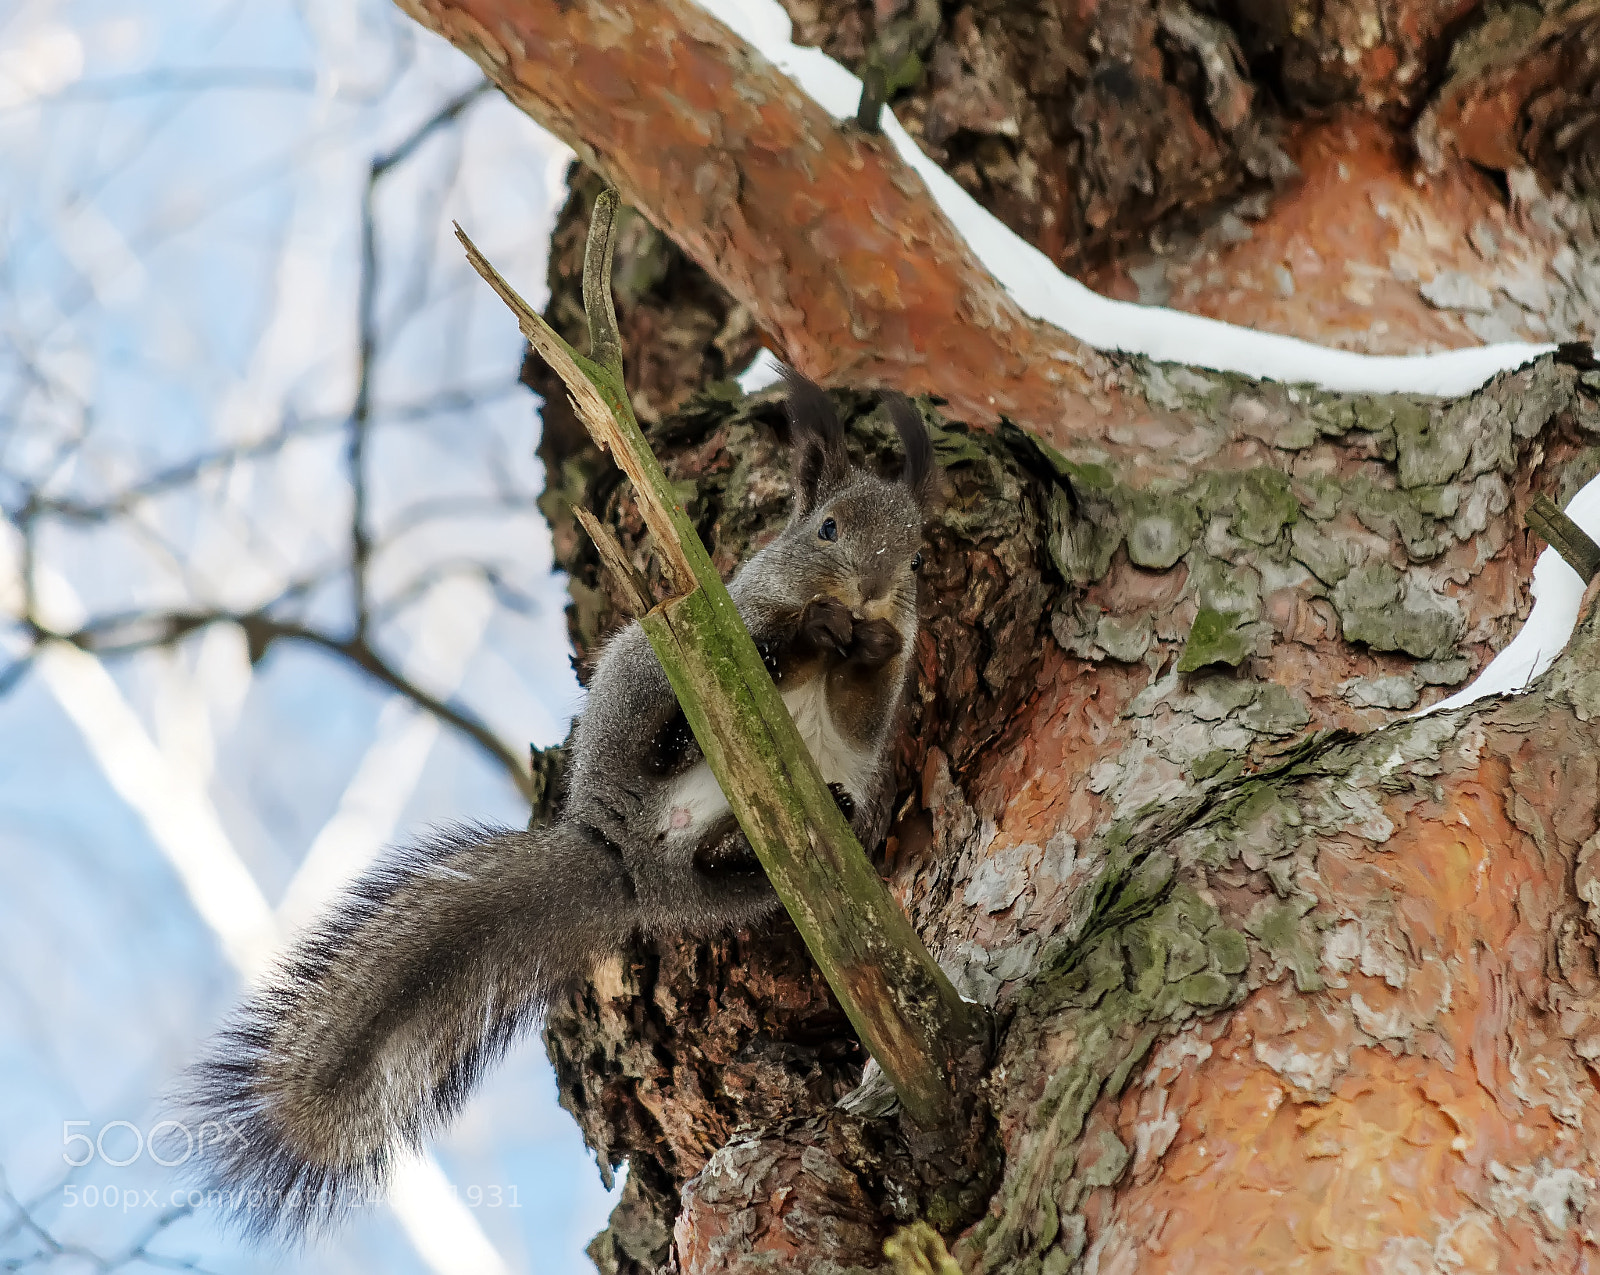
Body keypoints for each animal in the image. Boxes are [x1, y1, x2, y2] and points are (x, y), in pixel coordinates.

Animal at [183, 369, 935, 1240]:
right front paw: (814, 630)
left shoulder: (871, 712)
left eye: (918, 553)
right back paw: (686, 737)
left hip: (741, 871)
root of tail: (629, 855)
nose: (873, 592)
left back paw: (813, 810)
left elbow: (861, 708)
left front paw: (873, 643)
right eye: (828, 527)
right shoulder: (738, 610)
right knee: (665, 733)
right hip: (642, 680)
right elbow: (775, 640)